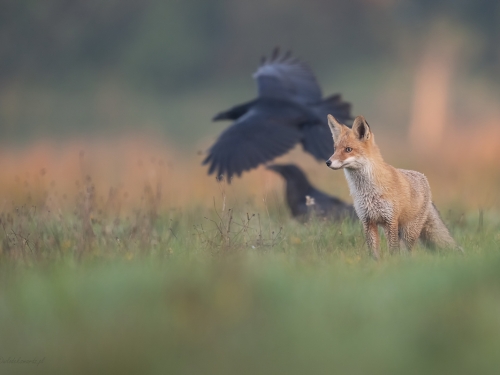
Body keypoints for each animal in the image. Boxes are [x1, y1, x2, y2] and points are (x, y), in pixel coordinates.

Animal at [324, 116, 460, 260]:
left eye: (348, 149)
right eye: (335, 149)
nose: (328, 162)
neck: (368, 191)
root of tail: (423, 177)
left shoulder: (390, 221)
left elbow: (393, 251)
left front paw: (393, 264)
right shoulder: (368, 221)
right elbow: (373, 252)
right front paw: (375, 264)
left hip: (408, 232)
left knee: (408, 251)